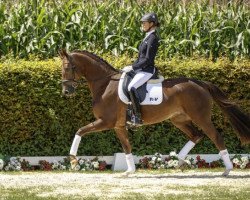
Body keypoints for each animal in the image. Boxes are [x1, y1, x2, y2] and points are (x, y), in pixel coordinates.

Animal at [59, 50, 249, 177]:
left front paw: (73, 160)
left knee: (215, 137)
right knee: (196, 135)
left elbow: (80, 131)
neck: (105, 84)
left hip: (201, 118)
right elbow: (126, 147)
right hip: (179, 120)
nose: (66, 91)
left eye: (69, 67)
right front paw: (129, 171)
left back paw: (227, 169)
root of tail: (200, 83)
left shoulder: (105, 121)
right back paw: (179, 161)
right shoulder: (118, 126)